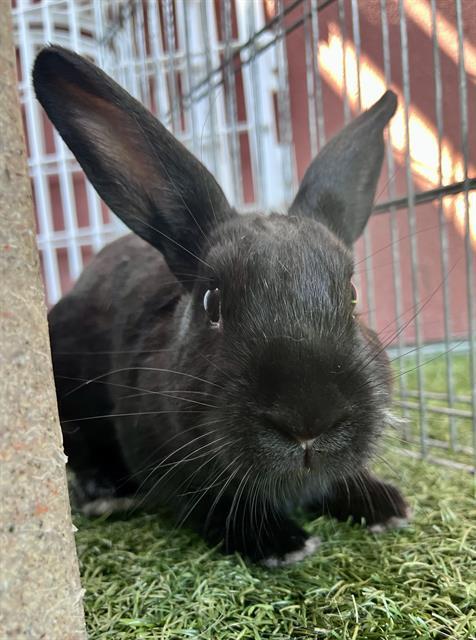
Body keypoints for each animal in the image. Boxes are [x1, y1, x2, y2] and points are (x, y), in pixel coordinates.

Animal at [33, 46, 409, 566]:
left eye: (352, 296)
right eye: (212, 303)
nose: (308, 423)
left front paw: (383, 505)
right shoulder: (164, 459)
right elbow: (212, 502)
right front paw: (280, 542)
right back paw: (108, 493)